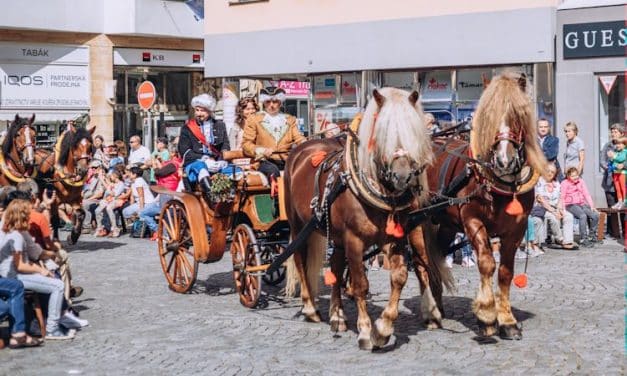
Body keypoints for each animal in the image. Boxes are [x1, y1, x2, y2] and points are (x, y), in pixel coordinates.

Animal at [286, 88, 446, 350]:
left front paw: (383, 328)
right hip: (298, 226)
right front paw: (364, 331)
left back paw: (337, 316)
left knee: (336, 265)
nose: (403, 177)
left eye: (413, 132)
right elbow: (360, 284)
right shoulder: (354, 240)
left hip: (336, 235)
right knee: (300, 260)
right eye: (383, 133)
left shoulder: (394, 238)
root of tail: (302, 147)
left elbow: (400, 277)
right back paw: (310, 308)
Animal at [410, 72, 548, 340]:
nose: (504, 161)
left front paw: (508, 321)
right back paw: (430, 313)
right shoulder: (472, 221)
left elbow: (505, 271)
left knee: (435, 259)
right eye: (489, 117)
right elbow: (486, 263)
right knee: (421, 263)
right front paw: (486, 316)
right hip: (418, 223)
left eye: (517, 115)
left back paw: (438, 307)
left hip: (444, 224)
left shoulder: (515, 230)